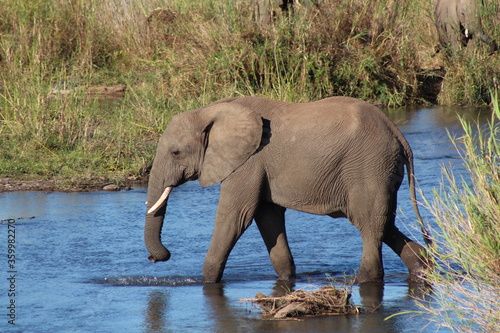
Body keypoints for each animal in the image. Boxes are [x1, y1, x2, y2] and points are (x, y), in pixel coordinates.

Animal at [143, 95, 432, 282]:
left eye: (176, 152)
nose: (155, 259)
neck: (211, 110)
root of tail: (398, 134)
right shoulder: (258, 167)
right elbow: (267, 217)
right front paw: (288, 278)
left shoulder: (248, 163)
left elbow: (236, 217)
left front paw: (207, 282)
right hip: (380, 171)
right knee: (384, 223)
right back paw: (423, 267)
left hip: (369, 167)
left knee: (370, 225)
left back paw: (366, 279)